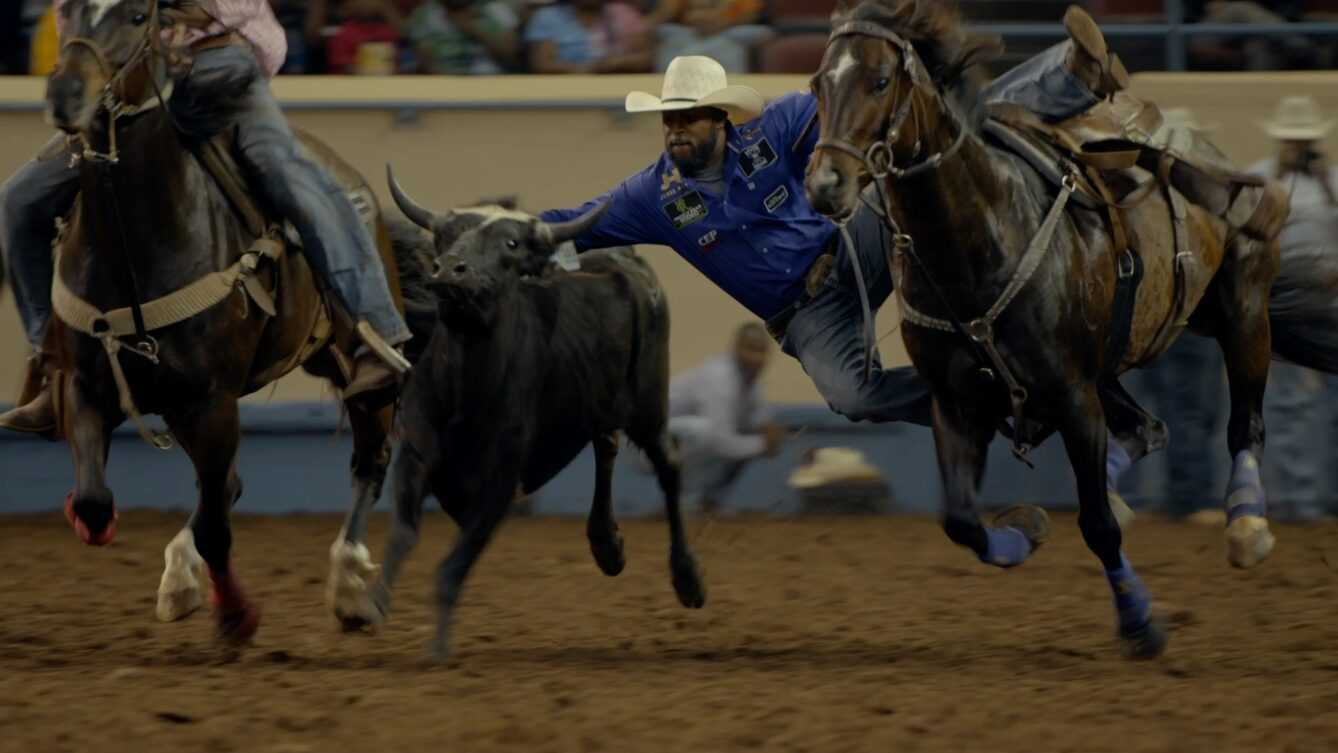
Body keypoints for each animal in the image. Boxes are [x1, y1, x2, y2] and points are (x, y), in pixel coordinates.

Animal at [41, 0, 430, 641]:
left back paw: (350, 587)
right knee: (224, 487)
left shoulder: (212, 400)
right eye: (63, 9)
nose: (66, 93)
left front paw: (237, 614)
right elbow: (96, 500)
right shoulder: (87, 385)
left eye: (137, 14)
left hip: (355, 374)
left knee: (368, 462)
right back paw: (181, 577)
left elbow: (216, 526)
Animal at [802, 0, 1338, 660]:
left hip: (1241, 308)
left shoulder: (1072, 395)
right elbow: (963, 522)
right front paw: (1025, 531)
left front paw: (1139, 623)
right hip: (1117, 360)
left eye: (879, 81)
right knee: (1149, 429)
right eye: (817, 84)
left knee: (1246, 425)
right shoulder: (956, 403)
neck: (982, 236)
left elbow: (1098, 527)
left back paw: (1246, 527)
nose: (825, 184)